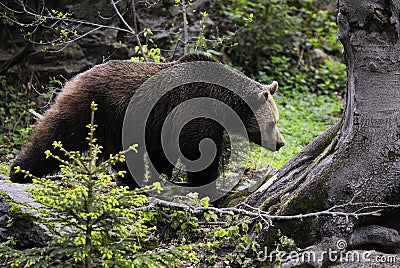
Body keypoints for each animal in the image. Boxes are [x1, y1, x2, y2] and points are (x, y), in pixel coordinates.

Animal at [9, 53, 284, 189]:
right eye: (272, 123)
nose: (280, 143)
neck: (225, 104)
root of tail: (76, 77)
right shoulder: (194, 109)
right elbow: (198, 151)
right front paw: (206, 184)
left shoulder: (164, 122)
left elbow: (163, 152)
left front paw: (160, 177)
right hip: (94, 108)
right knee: (57, 135)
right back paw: (20, 171)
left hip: (115, 124)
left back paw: (130, 181)